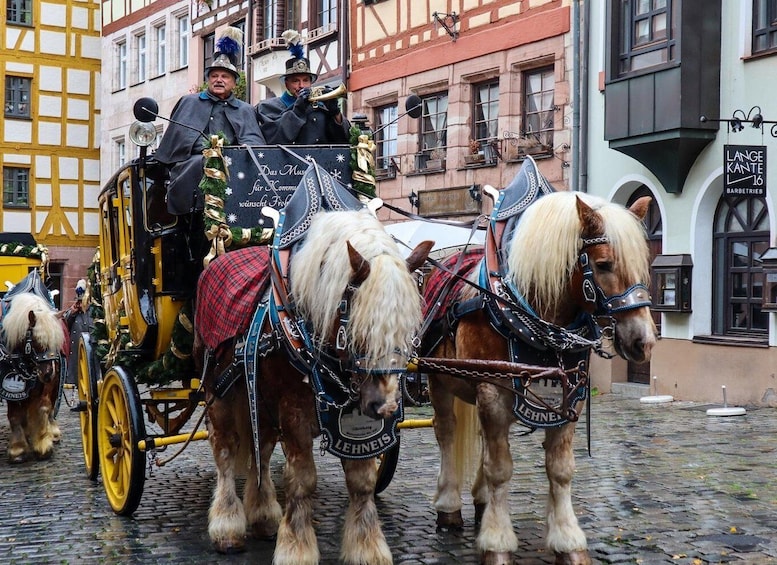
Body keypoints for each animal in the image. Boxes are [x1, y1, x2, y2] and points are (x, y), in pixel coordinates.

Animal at [418, 158, 656, 564]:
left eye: (648, 261)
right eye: (604, 264)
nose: (644, 342)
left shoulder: (569, 394)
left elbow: (560, 470)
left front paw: (568, 541)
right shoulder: (493, 392)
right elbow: (500, 469)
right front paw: (497, 543)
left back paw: (481, 501)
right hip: (440, 380)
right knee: (447, 433)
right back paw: (448, 506)